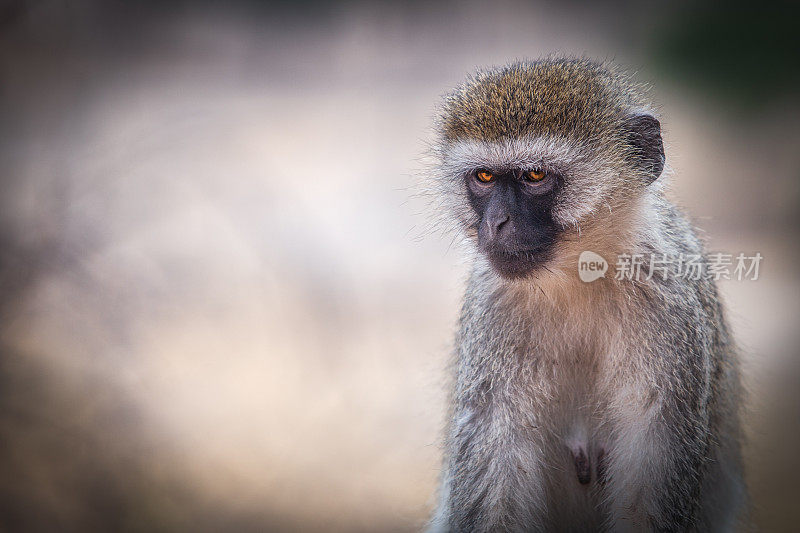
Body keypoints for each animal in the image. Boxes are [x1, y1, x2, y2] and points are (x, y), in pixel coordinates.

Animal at [428, 58, 748, 532]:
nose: (496, 223)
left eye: (535, 175)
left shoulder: (668, 304)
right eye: (484, 177)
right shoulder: (492, 308)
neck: (577, 281)